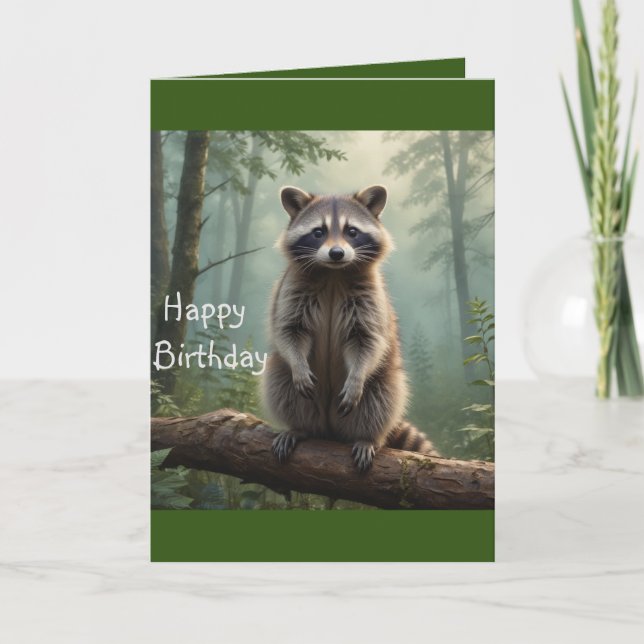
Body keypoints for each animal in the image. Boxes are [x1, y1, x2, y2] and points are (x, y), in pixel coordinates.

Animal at [261, 185, 439, 471]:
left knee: (384, 398)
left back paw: (368, 437)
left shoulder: (370, 298)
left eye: (352, 232)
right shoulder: (290, 289)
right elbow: (289, 331)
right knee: (280, 381)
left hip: (384, 381)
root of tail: (329, 428)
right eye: (318, 232)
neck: (334, 273)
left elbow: (367, 341)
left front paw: (356, 378)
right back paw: (299, 427)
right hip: (288, 382)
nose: (336, 253)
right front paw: (298, 365)